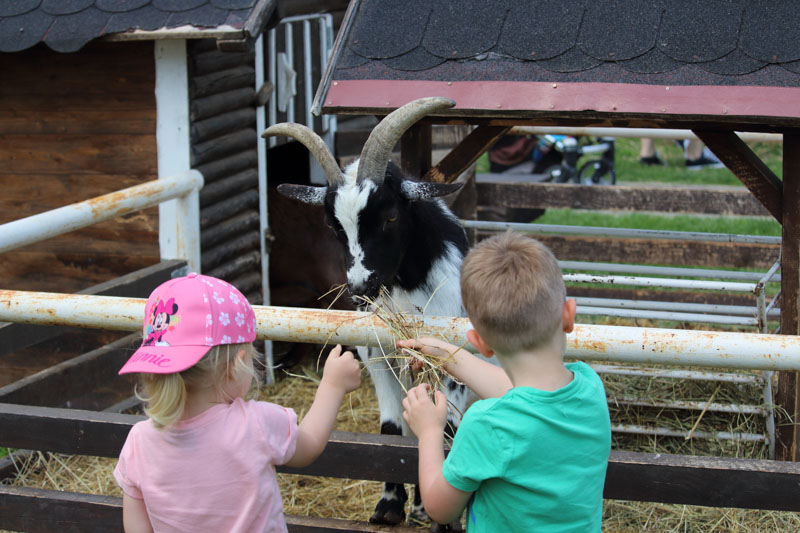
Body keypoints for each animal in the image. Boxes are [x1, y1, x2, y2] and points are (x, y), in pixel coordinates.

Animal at [262, 97, 472, 528]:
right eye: (333, 226)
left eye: (391, 216)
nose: (360, 287)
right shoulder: (376, 354)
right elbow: (392, 430)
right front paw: (389, 506)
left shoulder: (449, 365)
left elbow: (445, 433)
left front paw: (442, 517)